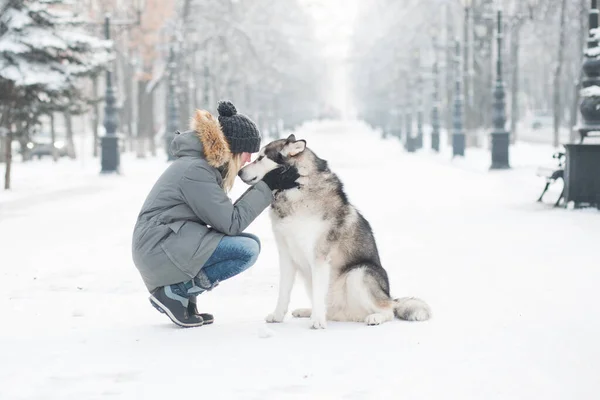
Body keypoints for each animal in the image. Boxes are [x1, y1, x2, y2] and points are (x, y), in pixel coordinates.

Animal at [237, 134, 428, 328]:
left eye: (261, 158)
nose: (239, 172)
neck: (296, 188)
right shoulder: (286, 255)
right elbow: (283, 291)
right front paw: (277, 316)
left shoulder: (319, 257)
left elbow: (317, 293)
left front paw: (317, 322)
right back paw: (308, 312)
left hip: (359, 273)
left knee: (388, 310)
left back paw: (374, 317)